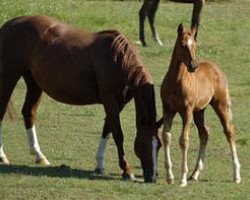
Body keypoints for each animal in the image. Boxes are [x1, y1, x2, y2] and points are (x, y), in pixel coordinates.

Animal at [0, 15, 162, 183]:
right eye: (144, 145)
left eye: (160, 145)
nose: (152, 177)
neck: (117, 59)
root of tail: (10, 24)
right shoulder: (110, 101)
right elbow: (118, 134)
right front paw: (126, 170)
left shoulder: (118, 104)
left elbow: (107, 130)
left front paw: (100, 165)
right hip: (9, 76)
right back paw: (3, 156)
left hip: (34, 83)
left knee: (29, 112)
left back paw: (39, 155)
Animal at [161, 23, 241, 188]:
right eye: (182, 44)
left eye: (195, 45)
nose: (193, 65)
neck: (176, 81)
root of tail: (216, 68)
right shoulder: (168, 109)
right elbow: (166, 136)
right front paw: (170, 177)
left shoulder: (187, 111)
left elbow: (184, 140)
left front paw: (182, 179)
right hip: (199, 111)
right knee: (204, 133)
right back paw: (195, 173)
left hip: (220, 105)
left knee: (229, 131)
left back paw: (236, 175)